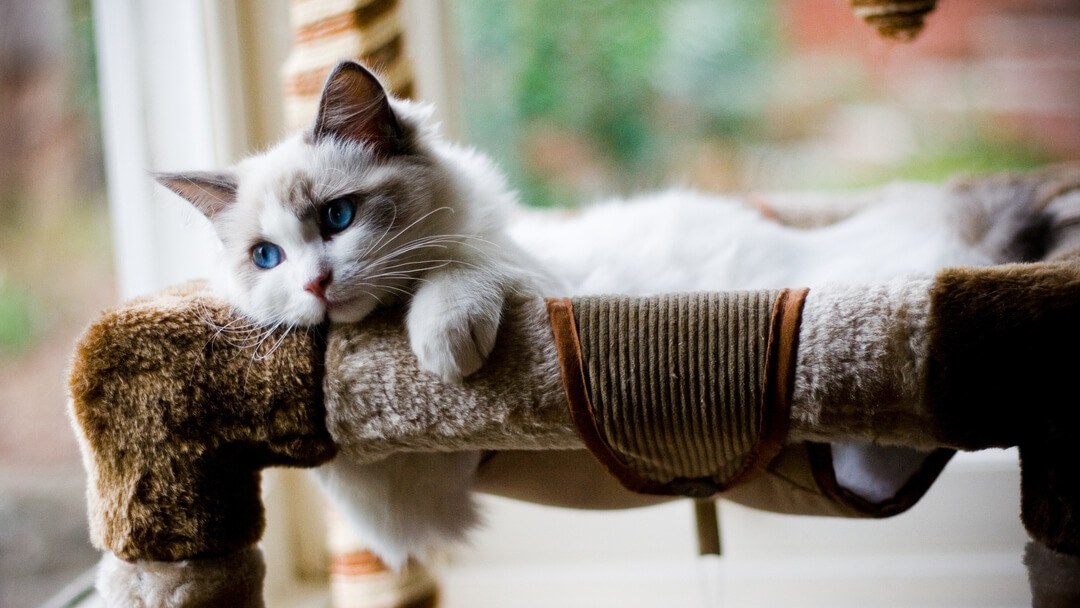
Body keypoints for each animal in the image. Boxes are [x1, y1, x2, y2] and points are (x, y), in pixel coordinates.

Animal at [156, 59, 1049, 570]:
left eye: (338, 218)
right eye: (266, 258)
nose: (315, 286)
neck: (377, 327)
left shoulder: (525, 274)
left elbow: (461, 272)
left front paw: (445, 347)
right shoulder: (421, 473)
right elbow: (346, 468)